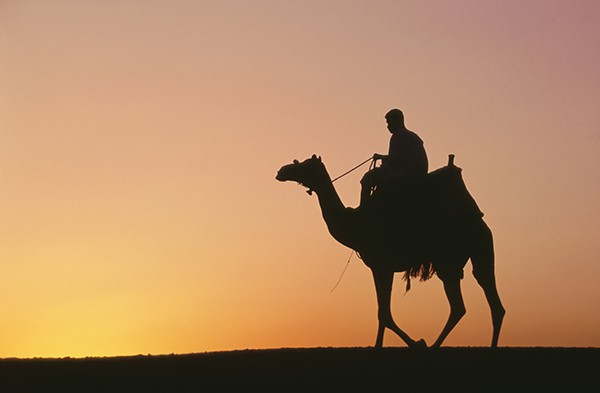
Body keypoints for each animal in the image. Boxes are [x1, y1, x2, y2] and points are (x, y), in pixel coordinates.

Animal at [276, 155, 506, 348]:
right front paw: (410, 342)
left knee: (463, 305)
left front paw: (408, 344)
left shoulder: (380, 265)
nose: (281, 170)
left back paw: (434, 346)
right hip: (476, 251)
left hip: (451, 259)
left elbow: (384, 313)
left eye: (304, 165)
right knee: (485, 298)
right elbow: (384, 312)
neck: (356, 225)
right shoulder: (383, 267)